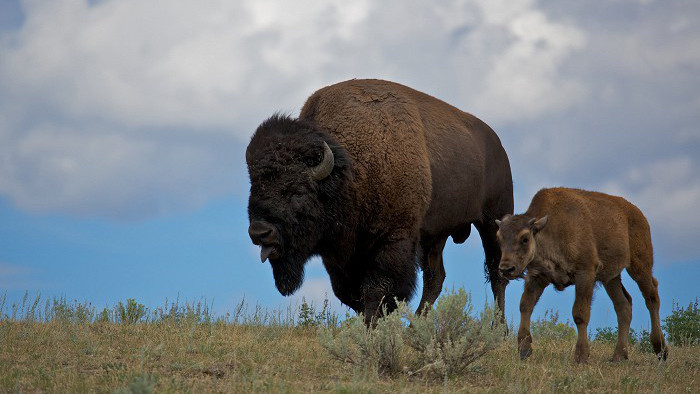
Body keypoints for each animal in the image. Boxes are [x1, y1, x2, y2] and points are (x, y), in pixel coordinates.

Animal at [247, 78, 516, 322]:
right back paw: (416, 326)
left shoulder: (392, 240)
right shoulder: (341, 256)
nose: (259, 232)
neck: (349, 170)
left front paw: (372, 327)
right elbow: (350, 294)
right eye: (254, 188)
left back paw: (499, 329)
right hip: (435, 235)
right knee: (435, 278)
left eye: (297, 191)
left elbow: (378, 291)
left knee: (496, 273)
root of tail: (497, 144)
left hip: (492, 221)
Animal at [498, 188, 668, 364]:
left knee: (651, 297)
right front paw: (524, 350)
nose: (506, 269)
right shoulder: (537, 277)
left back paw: (660, 350)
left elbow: (580, 313)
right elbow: (525, 305)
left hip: (640, 266)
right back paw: (618, 356)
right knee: (623, 305)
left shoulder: (585, 274)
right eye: (499, 238)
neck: (550, 228)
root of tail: (638, 215)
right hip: (611, 278)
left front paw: (581, 356)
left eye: (525, 238)